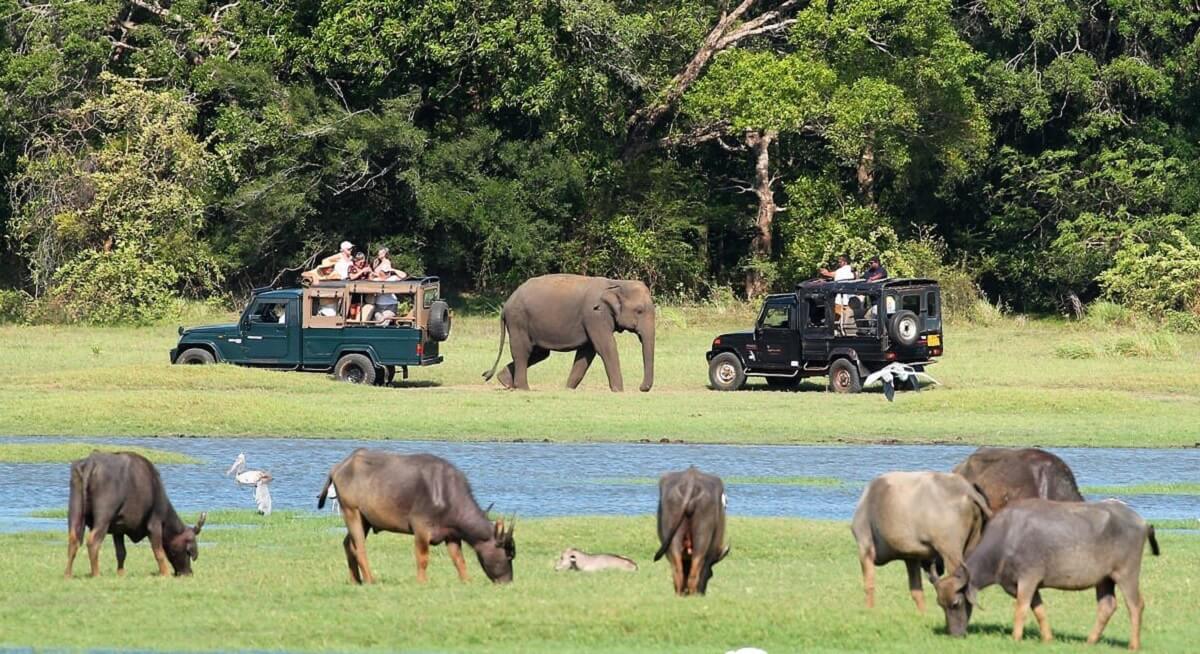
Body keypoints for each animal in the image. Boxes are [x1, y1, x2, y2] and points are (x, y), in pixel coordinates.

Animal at [482, 274, 655, 392]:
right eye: (639, 311)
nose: (642, 388)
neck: (616, 283)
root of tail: (506, 305)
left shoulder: (592, 320)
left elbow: (586, 353)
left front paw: (568, 389)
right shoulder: (594, 315)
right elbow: (606, 347)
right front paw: (619, 390)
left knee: (539, 353)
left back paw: (504, 380)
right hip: (518, 320)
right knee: (523, 351)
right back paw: (523, 388)